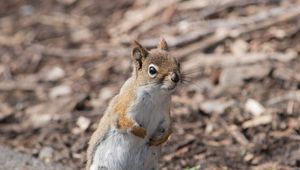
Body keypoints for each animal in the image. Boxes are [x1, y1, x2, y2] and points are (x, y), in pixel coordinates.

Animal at [86, 38, 180, 170]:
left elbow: (168, 127)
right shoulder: (125, 104)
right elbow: (121, 121)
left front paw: (162, 138)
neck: (155, 96)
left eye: (178, 62)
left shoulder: (165, 113)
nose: (176, 77)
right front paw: (141, 132)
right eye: (152, 70)